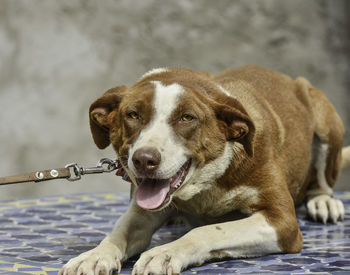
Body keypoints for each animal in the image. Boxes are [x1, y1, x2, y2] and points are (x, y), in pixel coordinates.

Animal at [60, 66, 350, 274]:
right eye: (132, 115)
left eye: (187, 118)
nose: (144, 160)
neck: (205, 185)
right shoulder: (142, 211)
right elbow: (119, 231)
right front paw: (94, 256)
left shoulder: (282, 223)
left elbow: (209, 230)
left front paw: (165, 252)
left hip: (325, 119)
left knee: (322, 182)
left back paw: (323, 202)